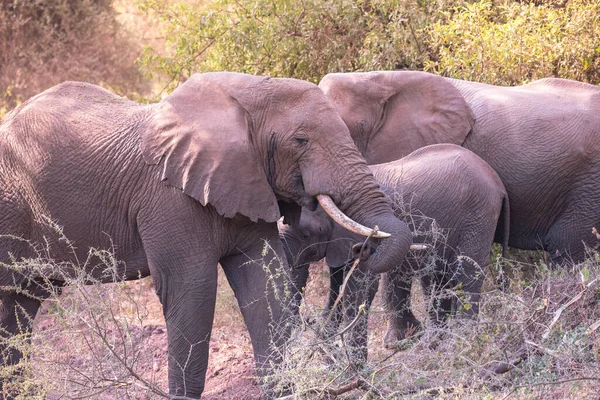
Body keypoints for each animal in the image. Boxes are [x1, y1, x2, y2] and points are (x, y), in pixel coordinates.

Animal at [0, 72, 414, 400]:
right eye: (301, 140)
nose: (364, 247)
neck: (244, 94)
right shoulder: (170, 199)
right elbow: (192, 291)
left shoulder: (249, 184)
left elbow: (265, 285)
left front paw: (283, 390)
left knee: (19, 306)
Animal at [278, 143, 508, 354]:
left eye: (306, 235)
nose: (363, 249)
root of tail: (497, 181)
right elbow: (337, 284)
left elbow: (360, 289)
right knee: (439, 278)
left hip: (479, 217)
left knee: (466, 275)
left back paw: (460, 343)